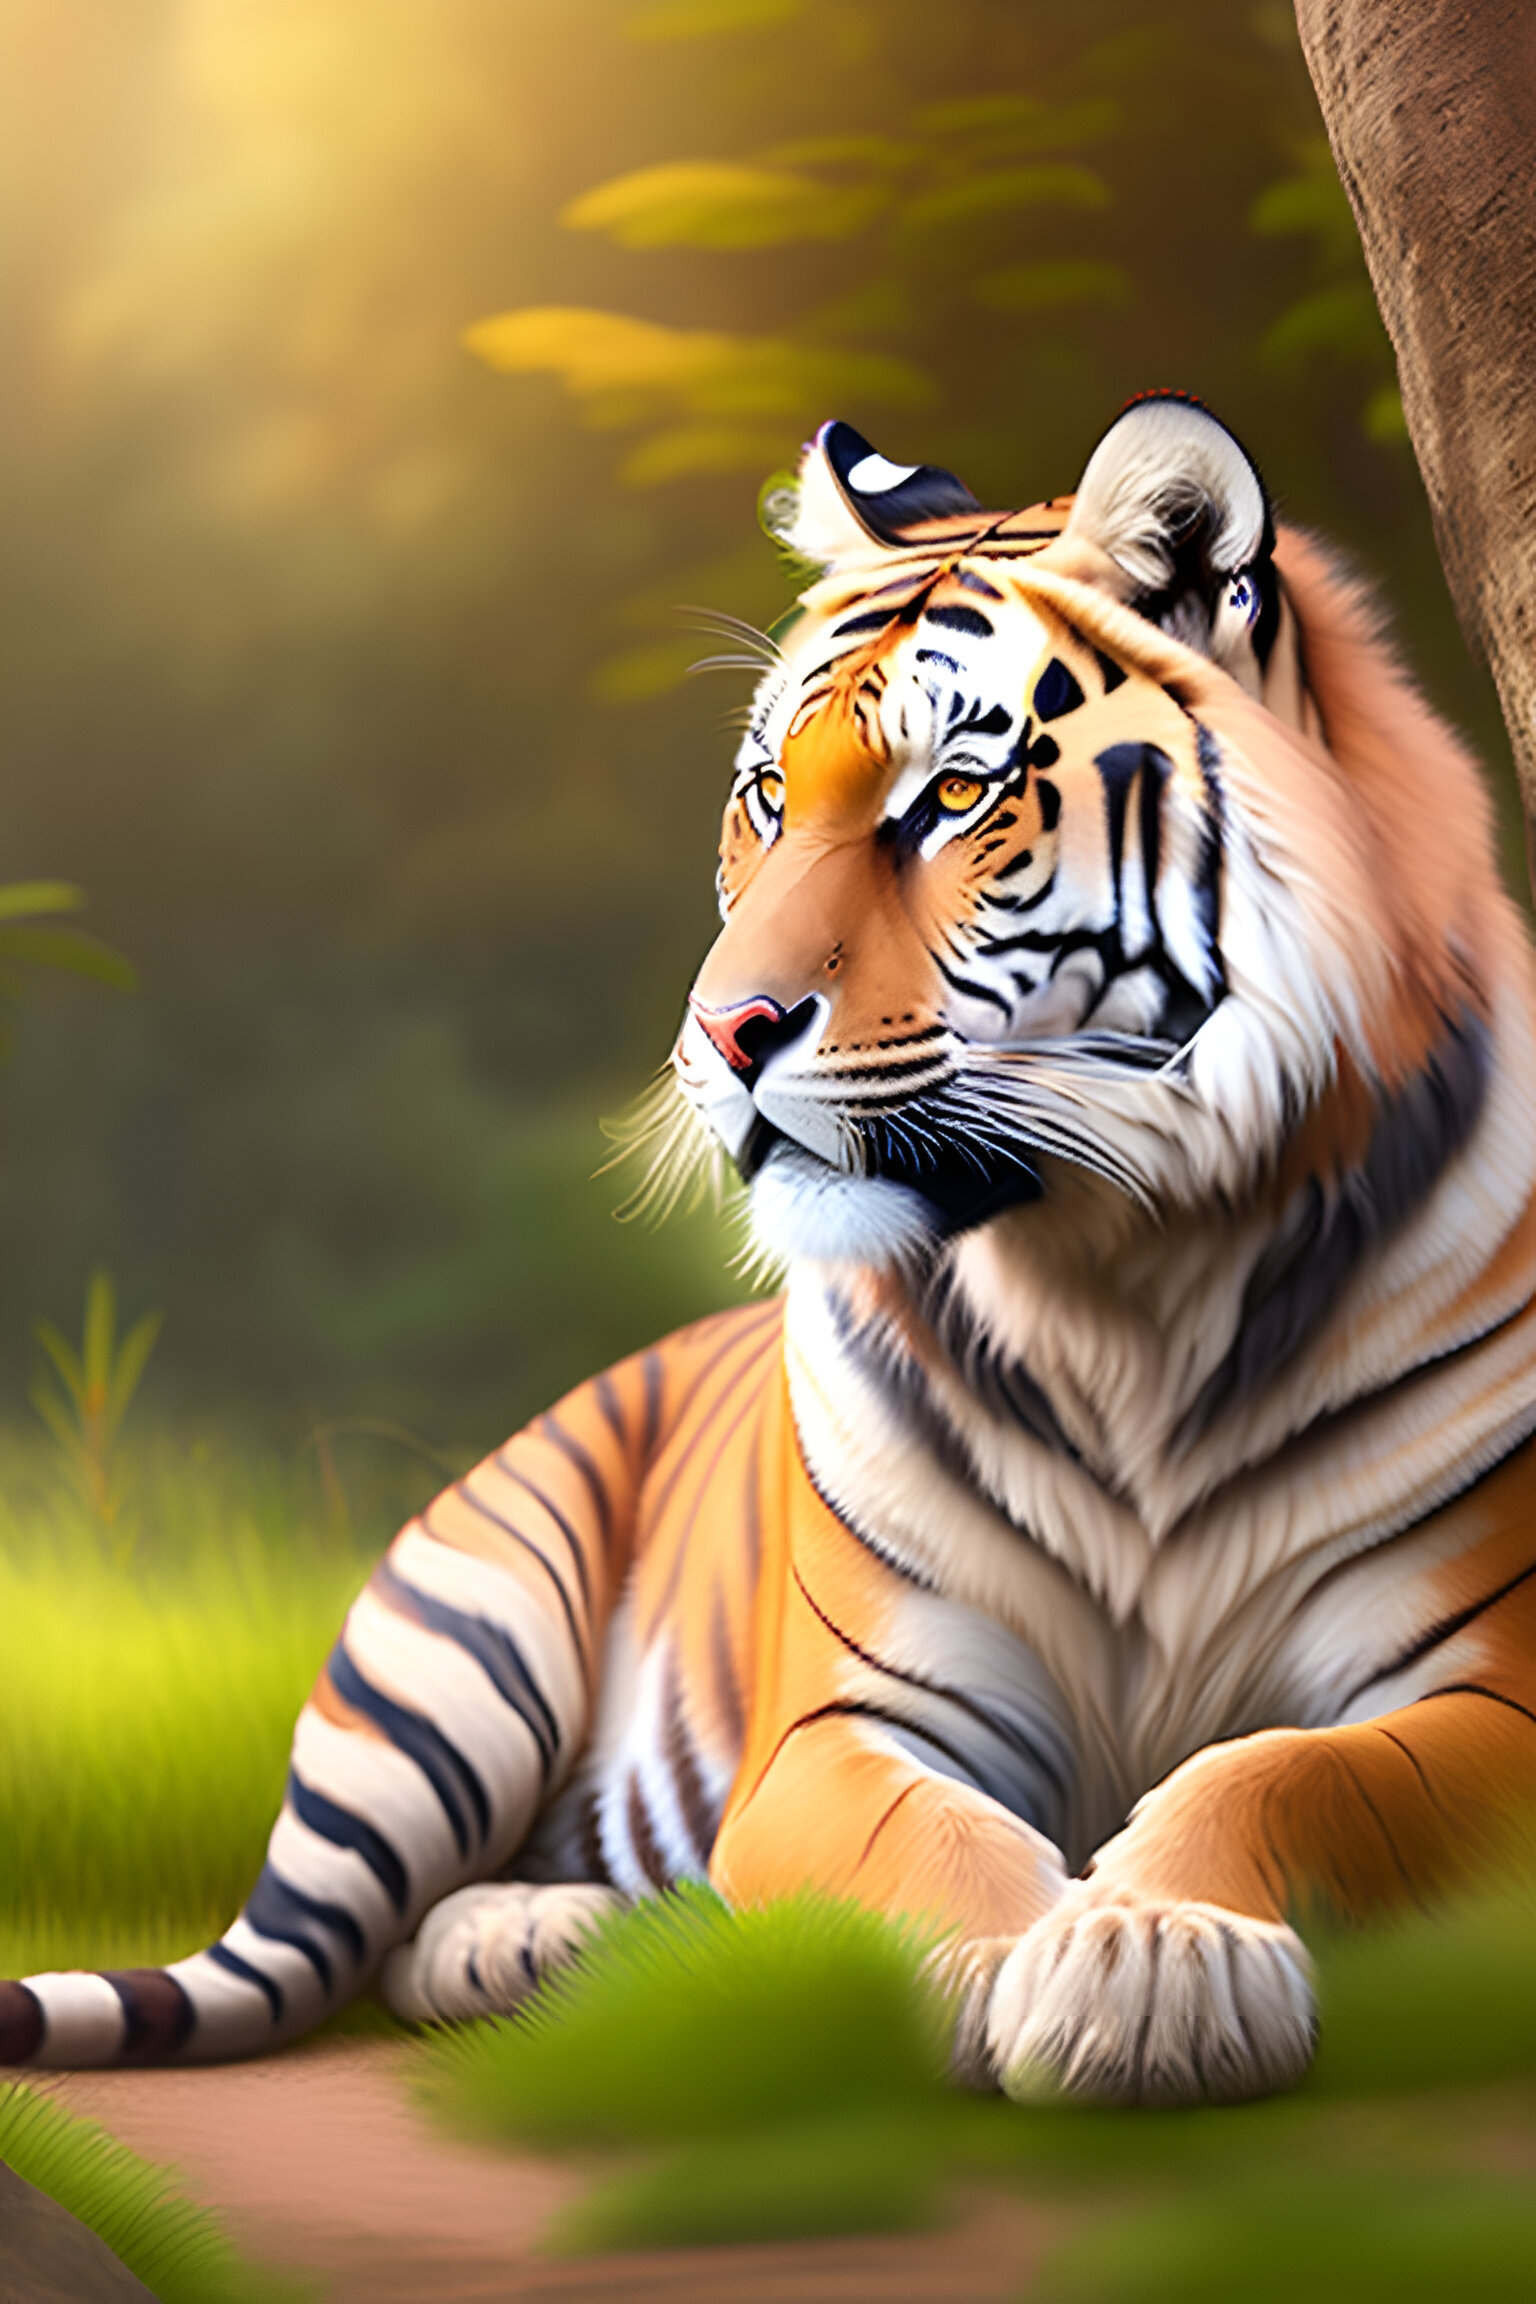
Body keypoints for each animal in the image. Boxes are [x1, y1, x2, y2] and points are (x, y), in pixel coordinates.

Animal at [4, 394, 1535, 2107]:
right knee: (343, 1941)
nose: (721, 1031)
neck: (1124, 1275)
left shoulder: (1492, 1693)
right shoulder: (839, 1722)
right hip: (466, 1647)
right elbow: (933, 1838)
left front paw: (1151, 1955)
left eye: (953, 797)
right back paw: (529, 1941)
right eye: (765, 799)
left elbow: (1281, 1778)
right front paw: (1031, 1972)